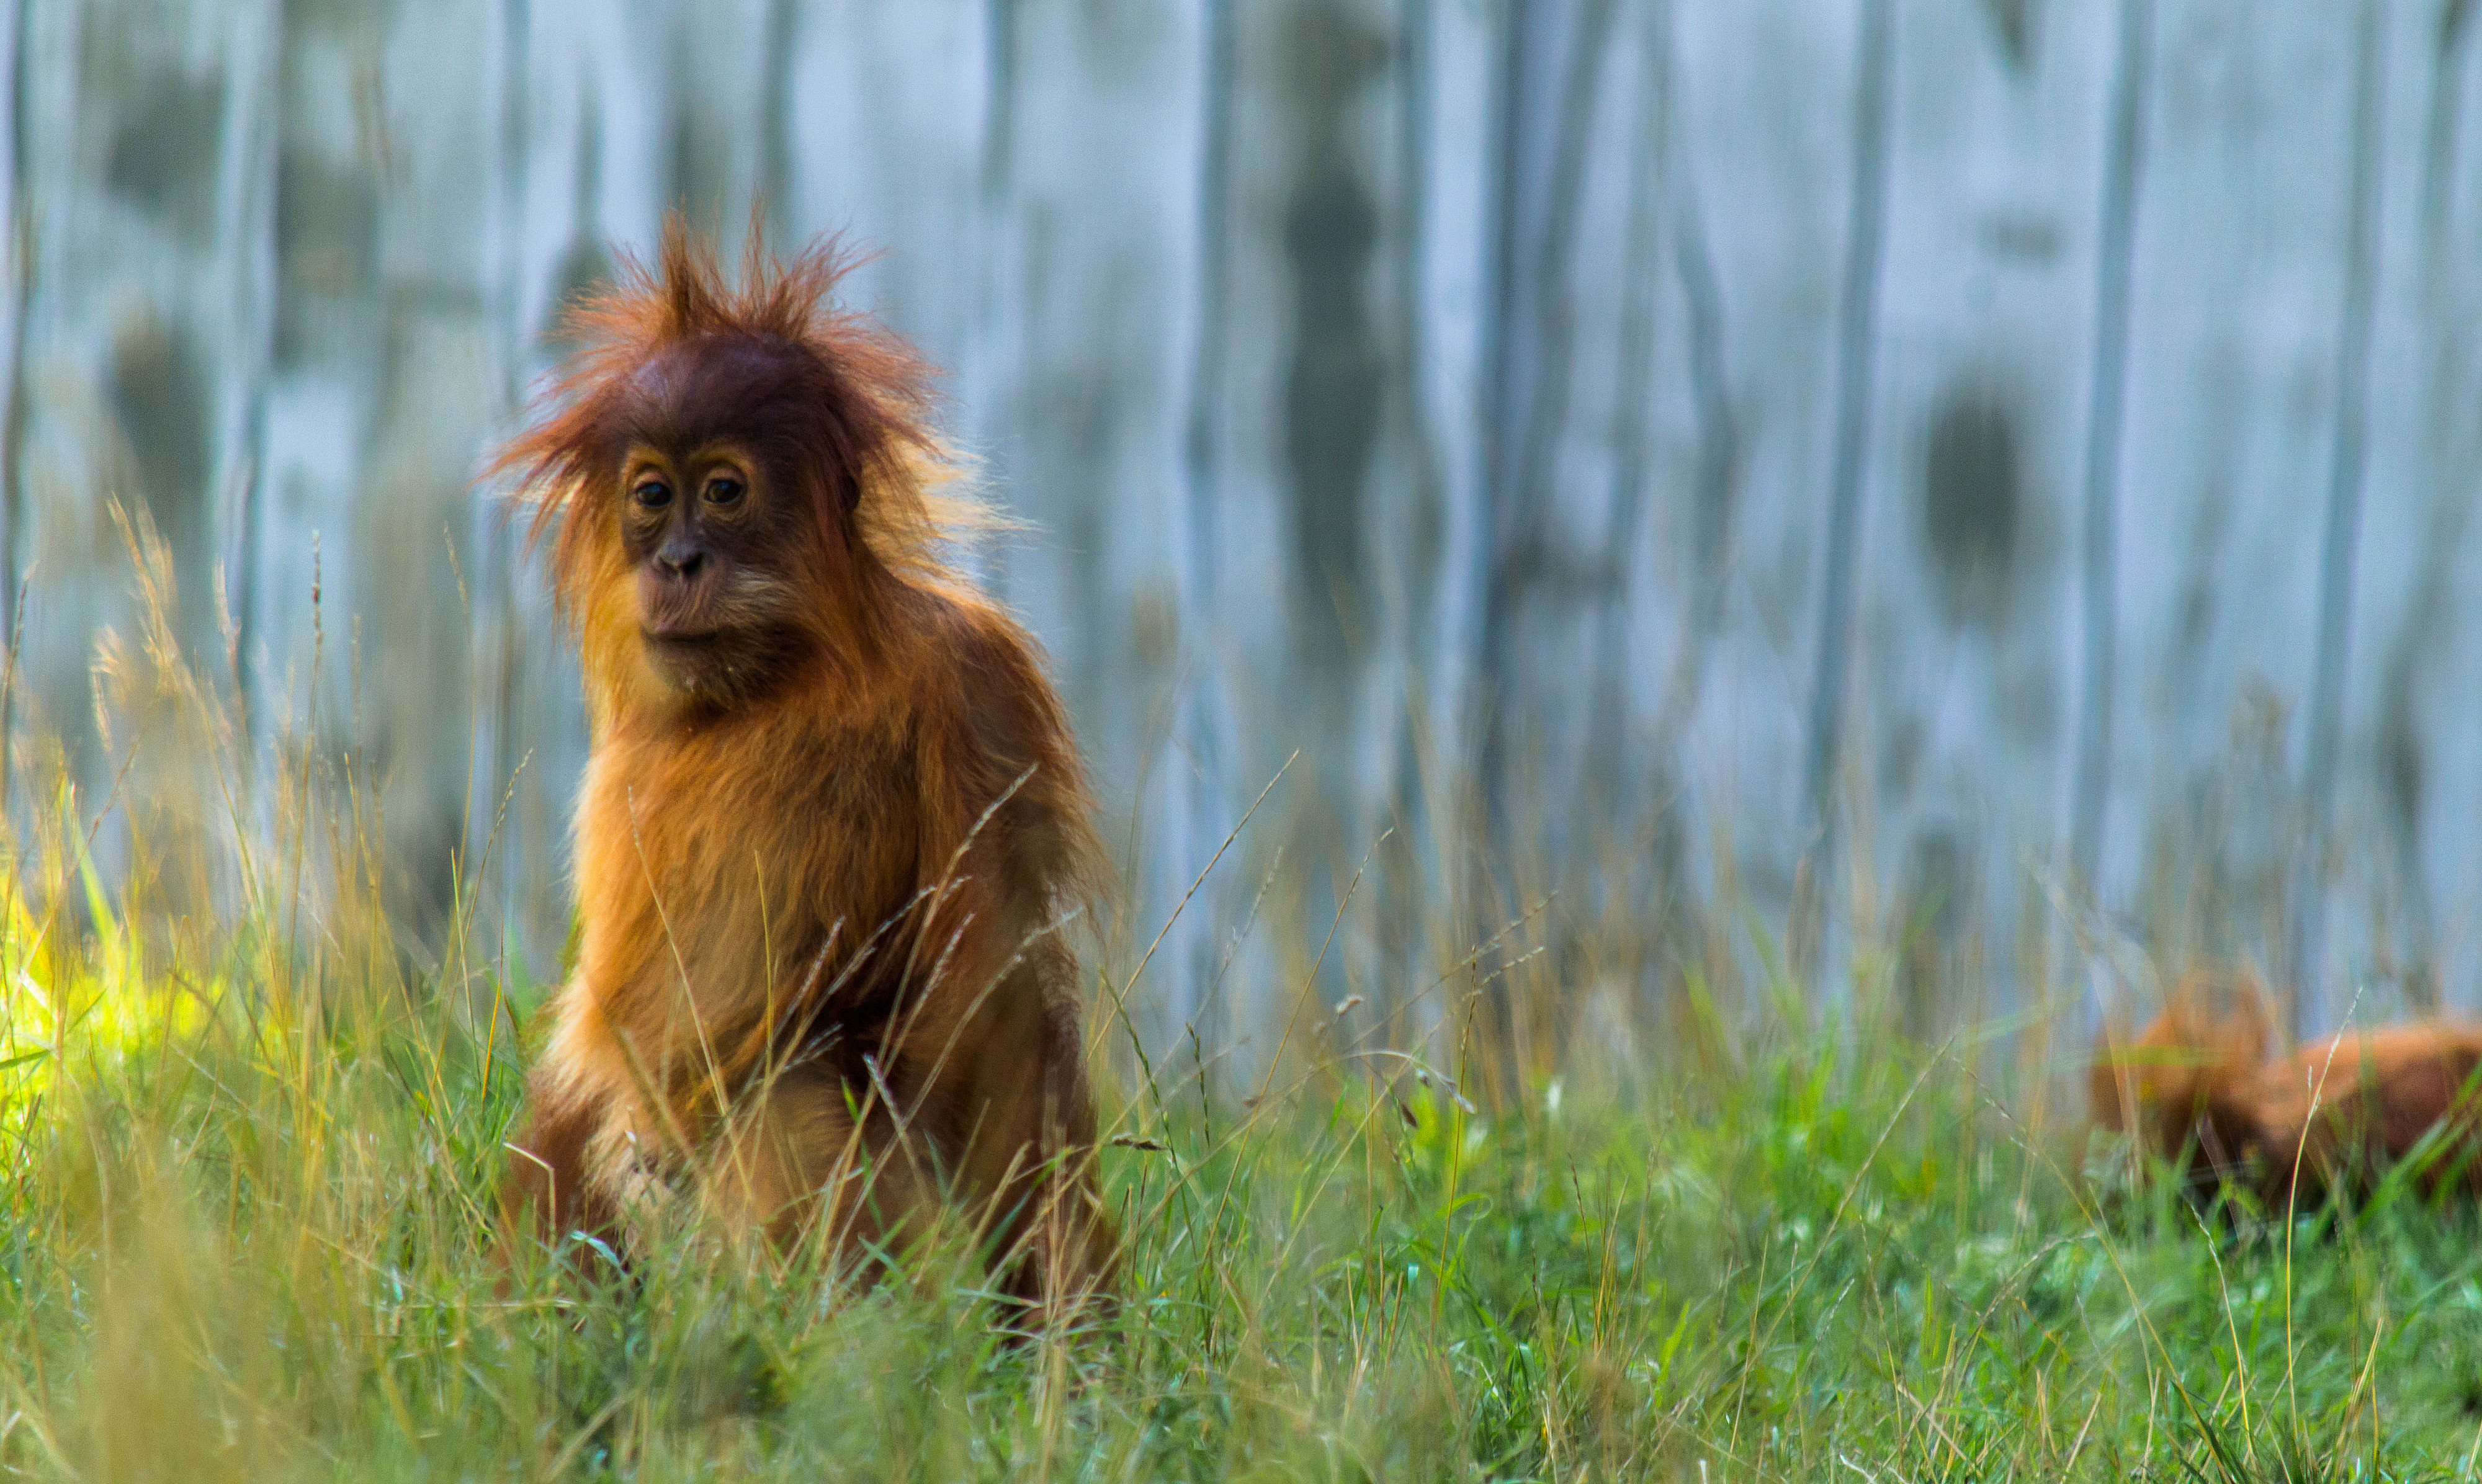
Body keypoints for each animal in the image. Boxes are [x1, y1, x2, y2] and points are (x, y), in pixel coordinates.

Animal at [492, 218, 1115, 1321]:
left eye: (724, 491)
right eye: (651, 495)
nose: (679, 562)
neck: (784, 673)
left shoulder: (975, 682)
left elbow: (996, 991)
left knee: (796, 1093)